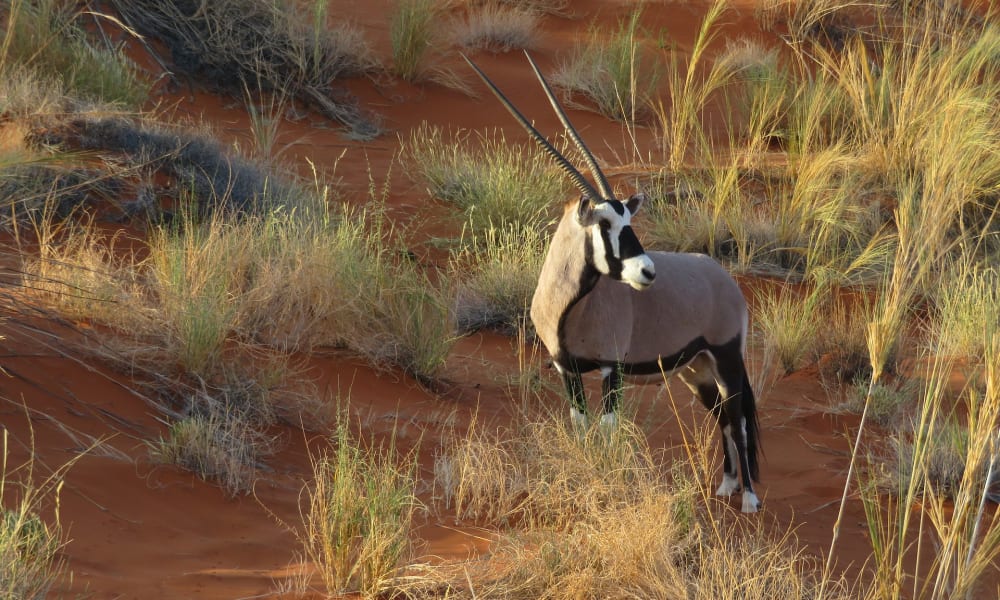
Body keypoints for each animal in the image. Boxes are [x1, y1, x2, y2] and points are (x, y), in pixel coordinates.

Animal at [464, 54, 760, 512]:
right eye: (605, 224)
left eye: (628, 221)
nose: (648, 272)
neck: (568, 308)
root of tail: (725, 280)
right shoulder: (565, 369)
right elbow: (580, 425)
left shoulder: (612, 370)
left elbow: (607, 430)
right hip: (696, 369)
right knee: (723, 419)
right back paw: (726, 486)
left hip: (727, 357)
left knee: (739, 419)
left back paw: (748, 499)